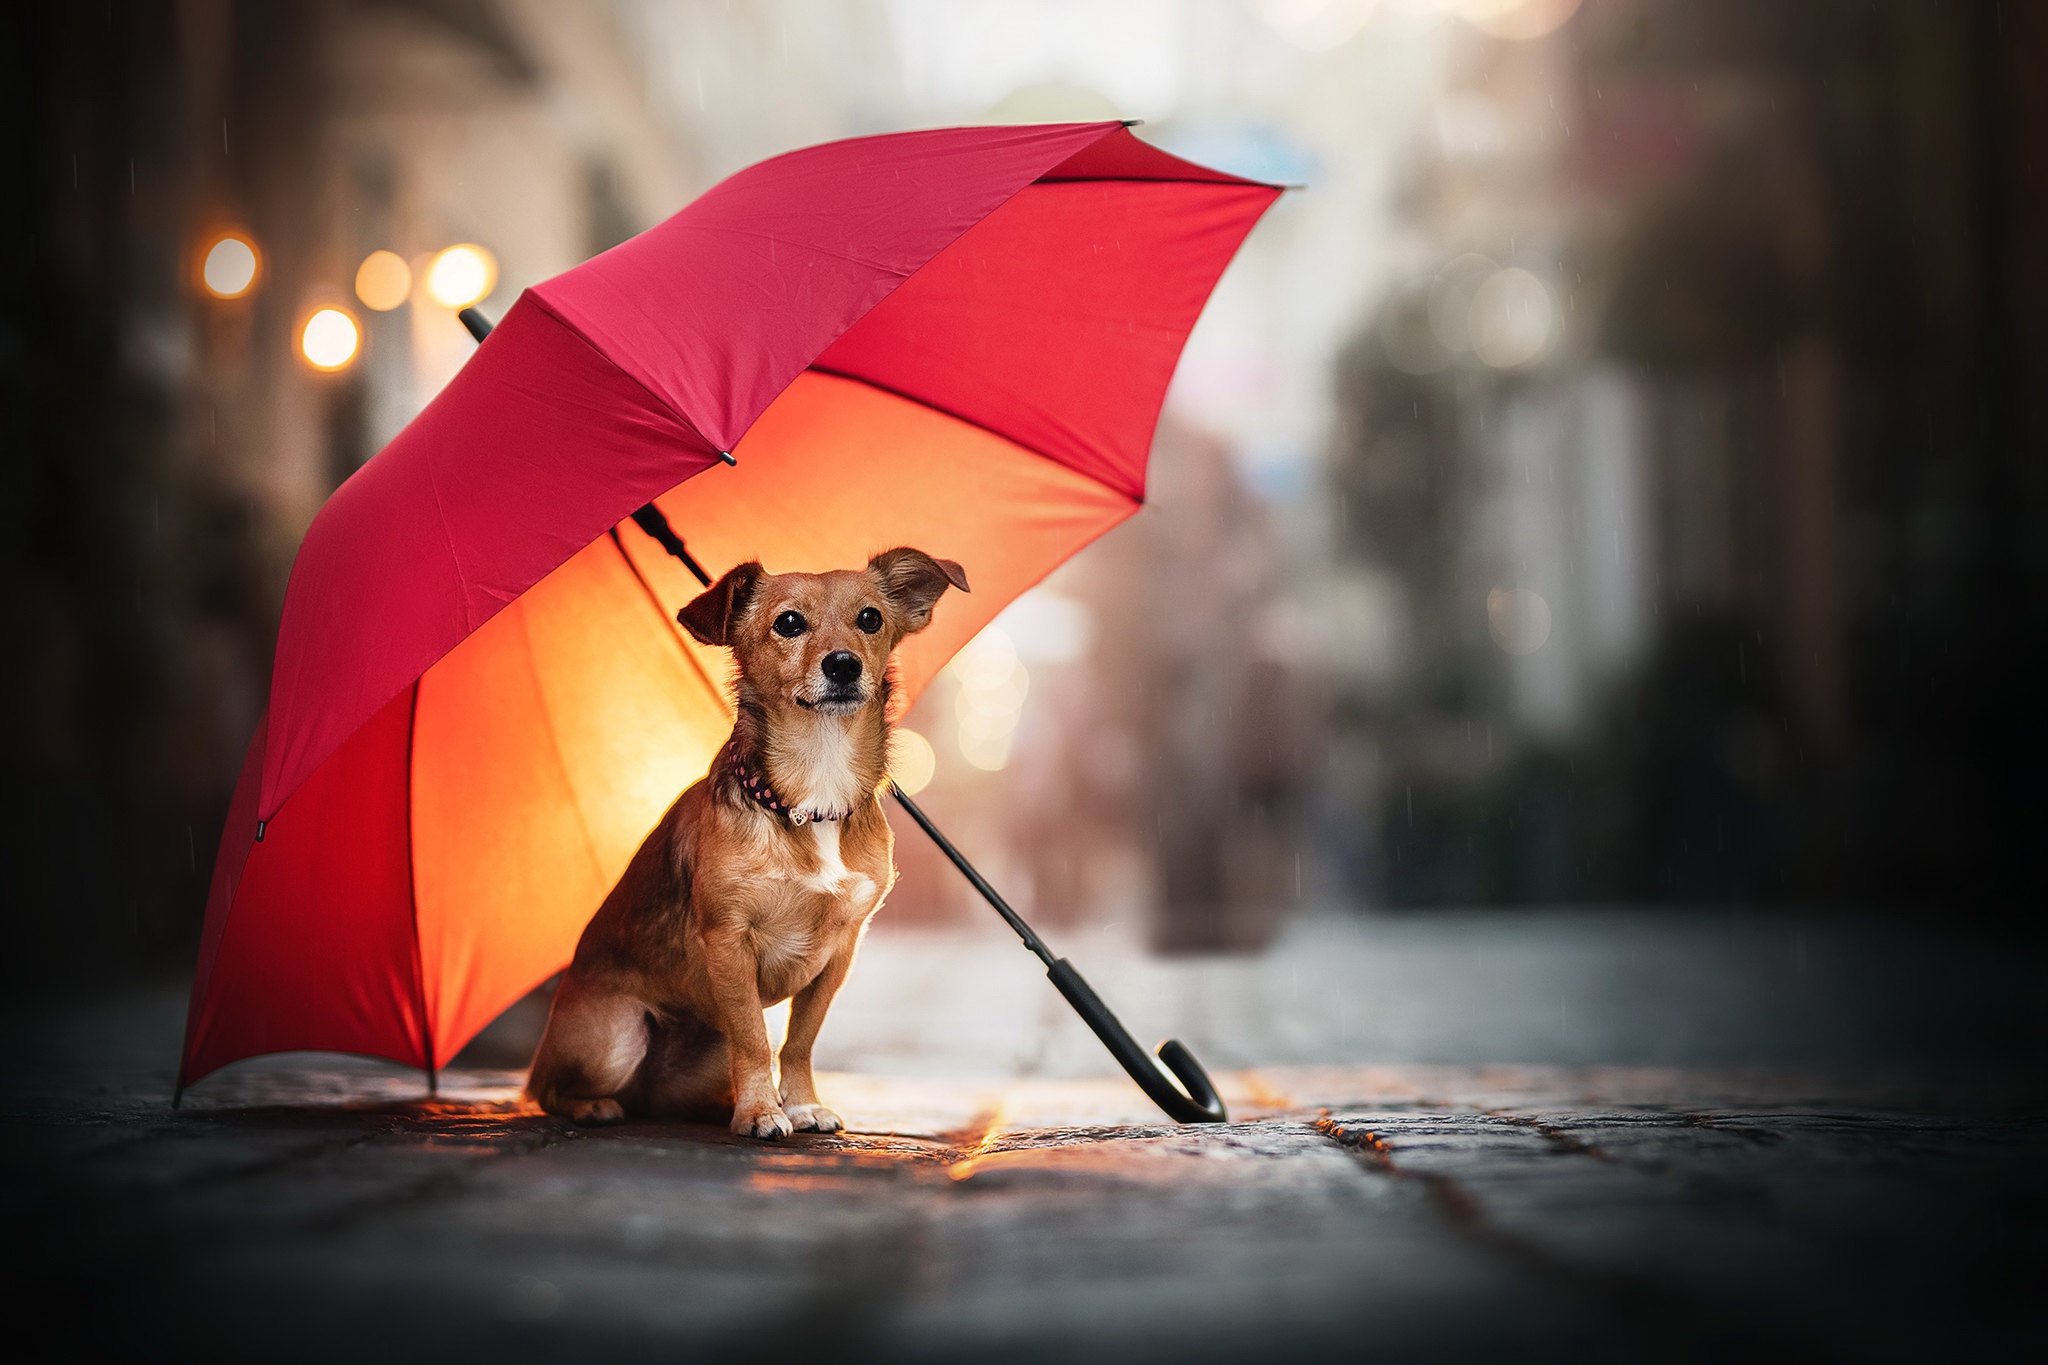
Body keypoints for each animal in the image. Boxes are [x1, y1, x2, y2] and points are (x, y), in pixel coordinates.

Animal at [528, 548, 974, 1137]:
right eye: (788, 623)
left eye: (870, 618)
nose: (843, 664)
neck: (813, 789)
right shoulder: (729, 940)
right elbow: (755, 1039)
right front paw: (762, 1112)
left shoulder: (840, 951)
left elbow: (799, 1040)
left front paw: (800, 1104)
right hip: (616, 1038)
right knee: (545, 1090)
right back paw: (594, 1106)